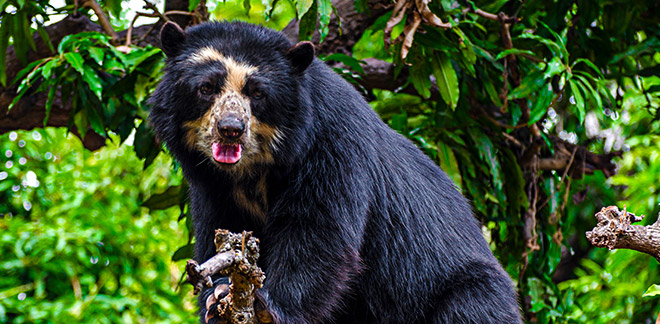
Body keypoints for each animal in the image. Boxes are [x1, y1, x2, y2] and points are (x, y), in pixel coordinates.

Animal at [148, 20, 520, 324]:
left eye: (257, 93)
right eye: (206, 88)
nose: (230, 129)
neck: (256, 170)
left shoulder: (332, 144)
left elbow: (319, 233)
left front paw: (270, 308)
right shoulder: (211, 186)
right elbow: (222, 234)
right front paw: (219, 296)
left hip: (461, 290)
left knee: (468, 307)